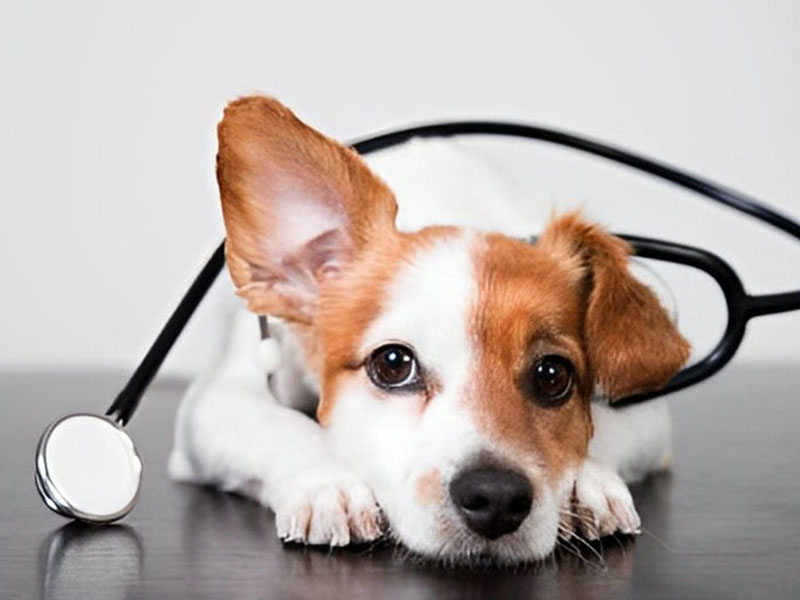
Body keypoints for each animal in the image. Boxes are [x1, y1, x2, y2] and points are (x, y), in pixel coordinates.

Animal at [167, 96, 688, 564]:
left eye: (553, 375)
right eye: (393, 364)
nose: (496, 496)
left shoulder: (649, 414)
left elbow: (606, 429)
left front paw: (588, 482)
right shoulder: (217, 399)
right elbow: (280, 426)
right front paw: (329, 482)